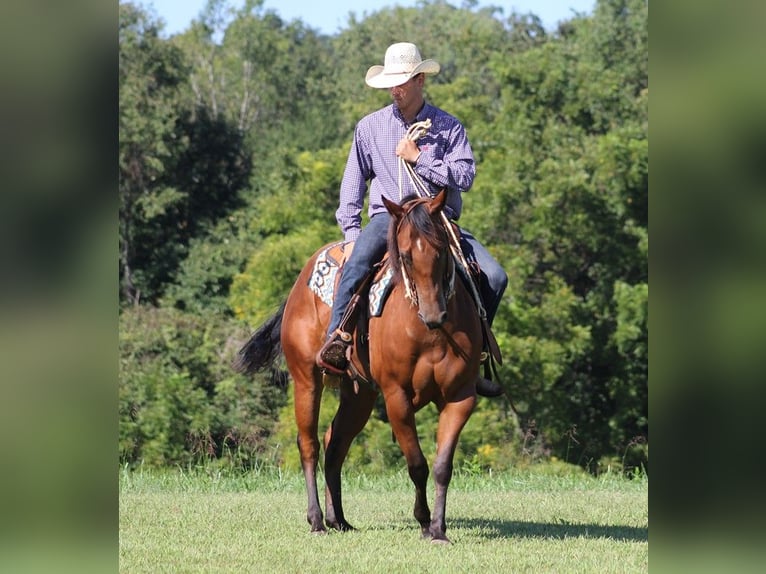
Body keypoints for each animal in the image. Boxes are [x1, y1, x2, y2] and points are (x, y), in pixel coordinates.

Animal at [237, 191, 484, 548]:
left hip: (359, 394)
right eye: (405, 256)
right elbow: (417, 464)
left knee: (335, 442)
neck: (428, 332)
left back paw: (337, 519)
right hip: (306, 379)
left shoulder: (460, 397)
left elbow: (442, 466)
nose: (433, 314)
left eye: (442, 251)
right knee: (309, 444)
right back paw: (316, 520)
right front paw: (424, 522)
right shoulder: (396, 396)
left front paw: (439, 529)